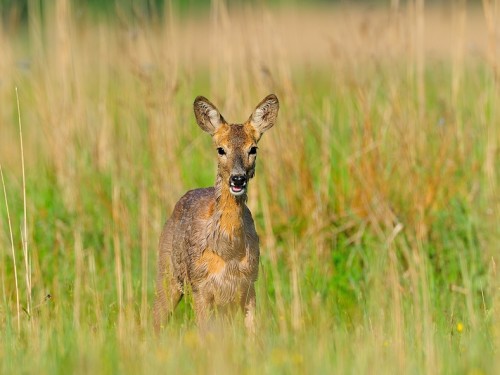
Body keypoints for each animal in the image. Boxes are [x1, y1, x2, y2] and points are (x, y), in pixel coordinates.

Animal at [153, 94, 278, 334]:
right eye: (220, 149)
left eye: (253, 149)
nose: (238, 179)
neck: (228, 250)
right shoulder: (200, 285)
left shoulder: (249, 283)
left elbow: (253, 332)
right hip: (167, 272)